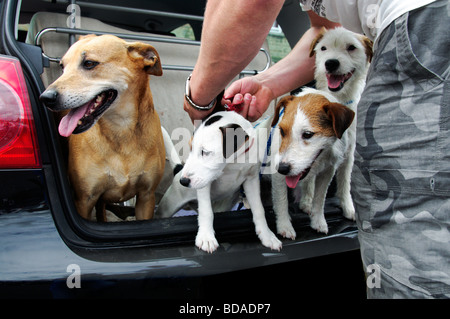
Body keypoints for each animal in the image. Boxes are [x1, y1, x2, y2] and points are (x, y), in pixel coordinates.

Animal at [40, 33, 165, 221]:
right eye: (62, 67)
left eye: (89, 63)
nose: (45, 98)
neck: (121, 130)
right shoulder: (84, 200)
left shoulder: (146, 197)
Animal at [179, 111, 282, 254]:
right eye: (190, 149)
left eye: (205, 152)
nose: (183, 181)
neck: (233, 162)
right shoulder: (205, 183)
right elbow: (206, 211)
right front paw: (206, 237)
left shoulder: (251, 180)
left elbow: (259, 209)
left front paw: (267, 235)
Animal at [270, 26, 372, 238]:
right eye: (282, 131)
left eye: (351, 47)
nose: (330, 63)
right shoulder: (278, 174)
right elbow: (282, 201)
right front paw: (285, 226)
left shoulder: (333, 166)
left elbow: (323, 196)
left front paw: (319, 220)